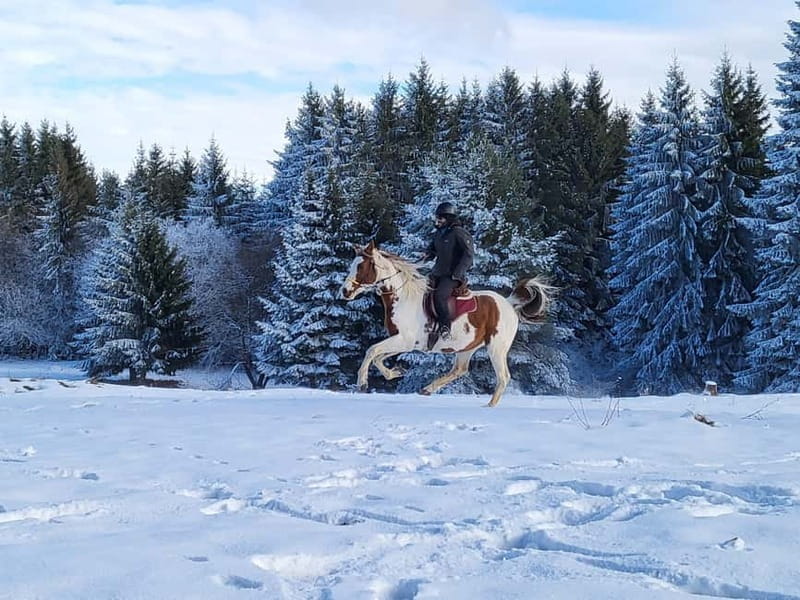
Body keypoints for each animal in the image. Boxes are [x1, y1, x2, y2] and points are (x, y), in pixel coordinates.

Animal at [340, 240, 554, 406]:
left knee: (503, 378)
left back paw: (489, 407)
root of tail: (509, 304)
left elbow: (371, 351)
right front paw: (395, 373)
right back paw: (427, 389)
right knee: (459, 370)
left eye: (361, 266)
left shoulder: (403, 340)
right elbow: (378, 357)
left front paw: (362, 383)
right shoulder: (404, 343)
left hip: (496, 348)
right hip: (467, 348)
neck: (403, 298)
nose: (345, 291)